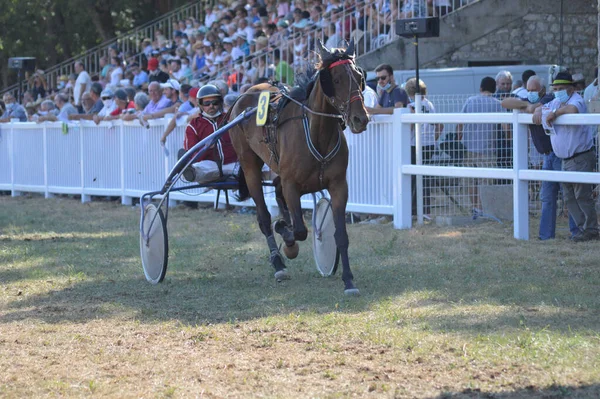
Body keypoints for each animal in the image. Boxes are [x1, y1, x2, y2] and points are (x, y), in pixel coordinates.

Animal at [230, 40, 368, 296]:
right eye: (335, 80)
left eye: (358, 76)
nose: (360, 119)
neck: (317, 135)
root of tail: (243, 96)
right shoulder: (292, 185)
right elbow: (300, 230)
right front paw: (287, 238)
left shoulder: (338, 185)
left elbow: (340, 234)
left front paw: (348, 280)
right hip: (249, 164)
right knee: (263, 216)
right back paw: (278, 263)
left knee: (276, 189)